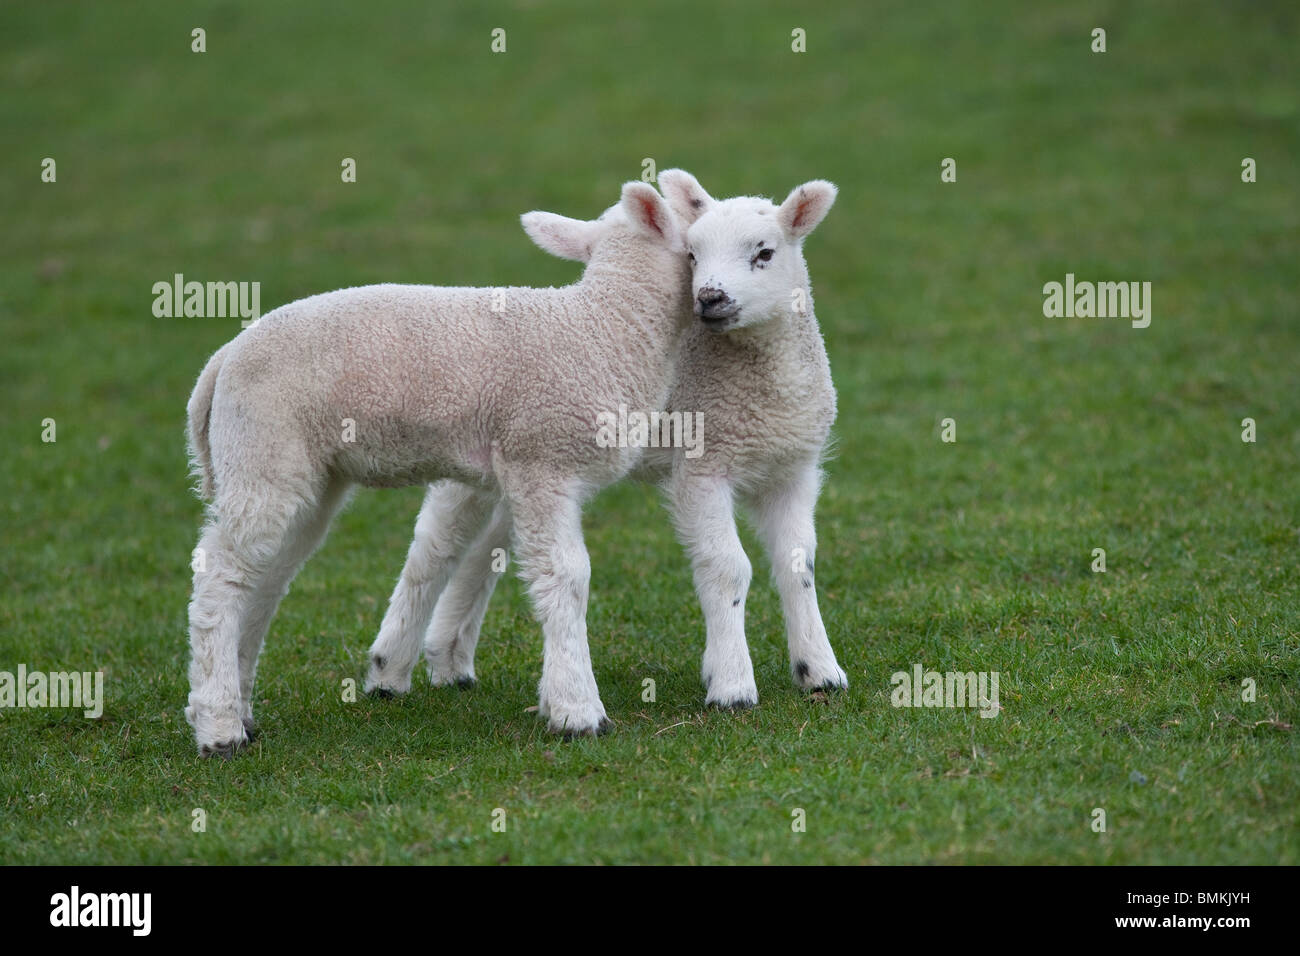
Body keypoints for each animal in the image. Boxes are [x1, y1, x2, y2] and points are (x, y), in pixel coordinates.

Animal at [184, 179, 696, 754]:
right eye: (697, 213)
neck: (608, 330)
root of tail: (221, 362)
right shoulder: (539, 460)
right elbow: (566, 576)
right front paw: (578, 711)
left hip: (301, 471)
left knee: (266, 580)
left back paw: (241, 711)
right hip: (262, 450)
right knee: (220, 578)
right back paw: (219, 728)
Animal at [371, 170, 847, 712]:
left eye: (765, 253)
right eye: (692, 255)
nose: (709, 298)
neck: (768, 388)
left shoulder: (794, 468)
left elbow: (799, 566)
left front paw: (819, 670)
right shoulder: (702, 466)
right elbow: (727, 567)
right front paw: (731, 685)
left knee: (482, 551)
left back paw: (449, 661)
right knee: (433, 551)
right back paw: (389, 668)